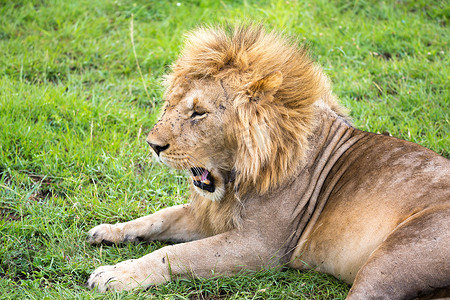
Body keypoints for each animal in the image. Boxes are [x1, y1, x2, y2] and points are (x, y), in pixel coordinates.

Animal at [86, 25, 448, 300]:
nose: (153, 145)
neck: (238, 177)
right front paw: (110, 232)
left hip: (389, 259)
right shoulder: (215, 217)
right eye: (169, 104)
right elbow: (159, 218)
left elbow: (173, 254)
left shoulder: (261, 246)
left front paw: (114, 276)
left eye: (198, 112)